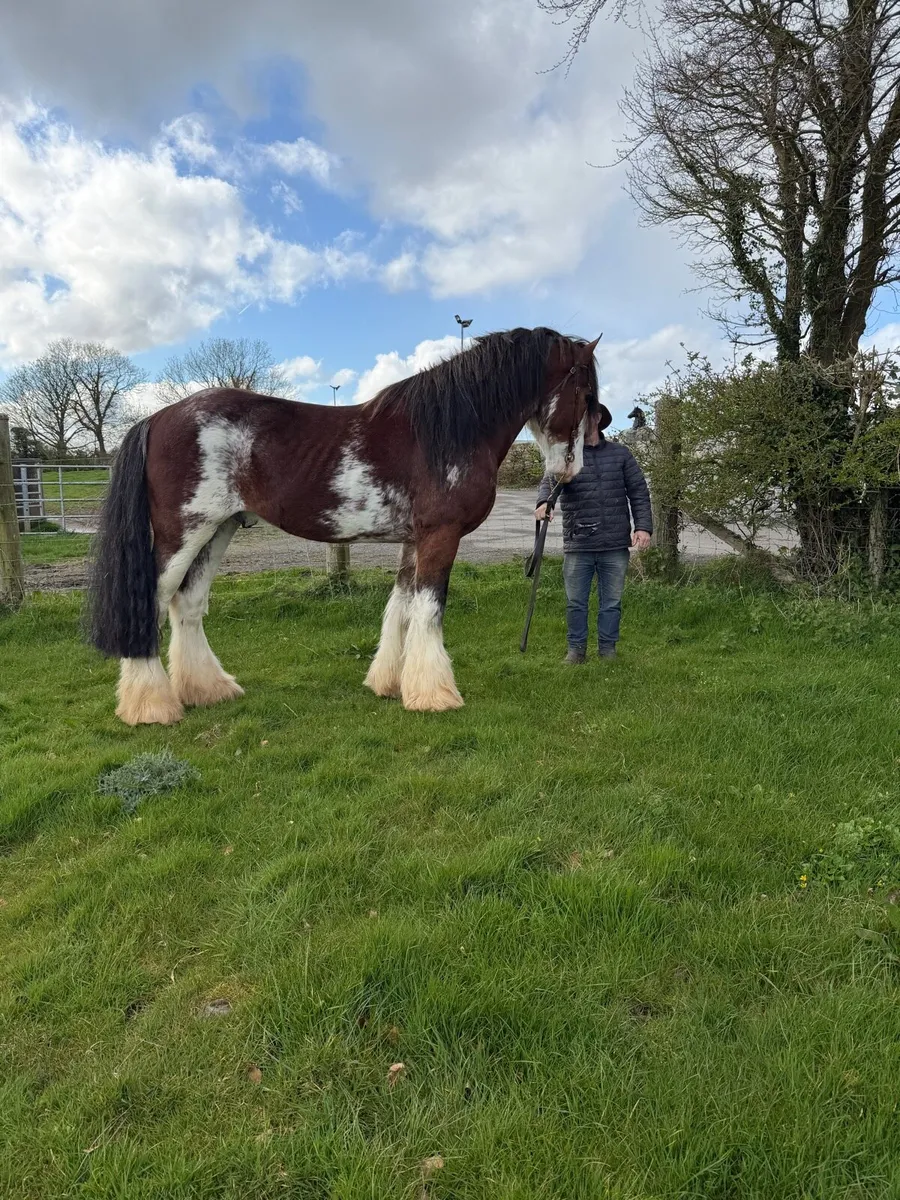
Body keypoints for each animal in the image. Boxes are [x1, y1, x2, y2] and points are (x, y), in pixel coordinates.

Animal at [86, 327, 601, 726]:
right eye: (586, 393)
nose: (572, 468)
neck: (448, 428)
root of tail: (157, 418)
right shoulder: (441, 534)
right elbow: (429, 609)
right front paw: (435, 695)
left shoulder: (414, 540)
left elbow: (402, 607)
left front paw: (392, 683)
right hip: (184, 532)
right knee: (151, 602)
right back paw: (150, 706)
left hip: (219, 529)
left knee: (187, 604)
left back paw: (208, 690)